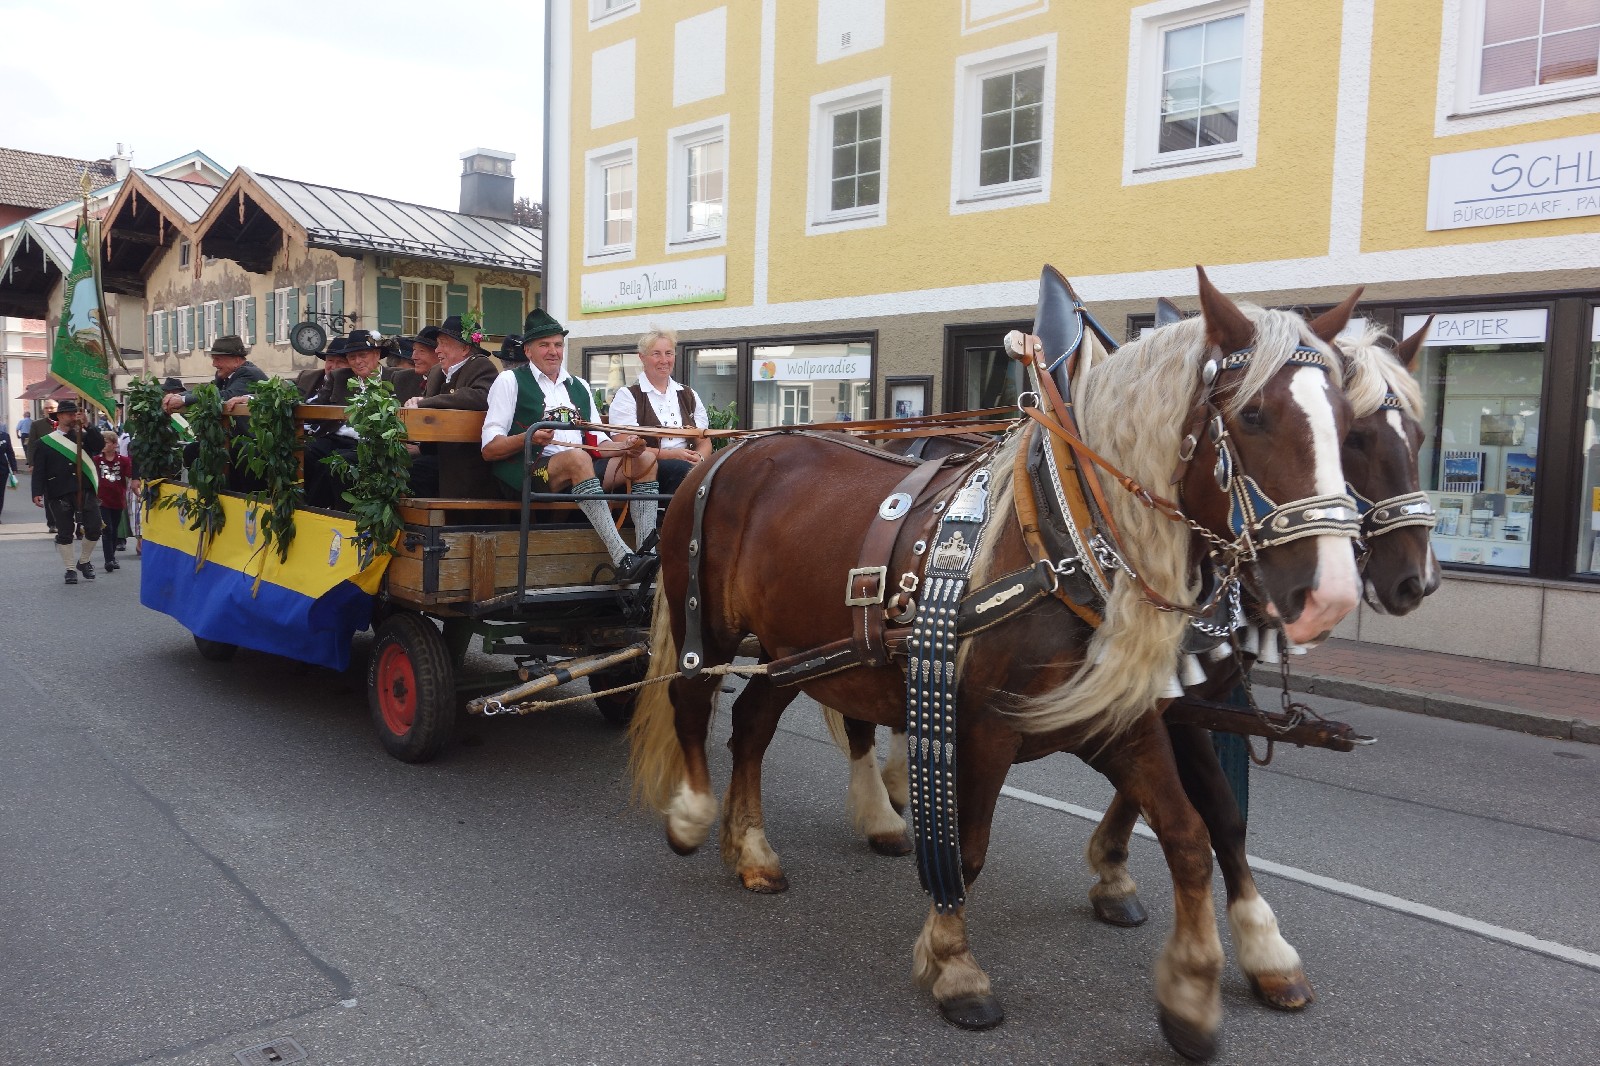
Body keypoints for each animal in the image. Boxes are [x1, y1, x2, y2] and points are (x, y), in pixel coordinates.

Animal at [628, 267, 1364, 1060]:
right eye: (1254, 415)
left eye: (1348, 422)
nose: (1332, 592)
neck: (1066, 537)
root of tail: (727, 452)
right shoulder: (984, 726)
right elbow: (970, 850)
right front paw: (956, 968)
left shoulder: (1127, 720)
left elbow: (1193, 835)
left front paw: (1195, 994)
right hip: (713, 625)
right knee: (694, 703)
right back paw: (694, 815)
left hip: (796, 651)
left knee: (753, 724)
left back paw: (753, 851)